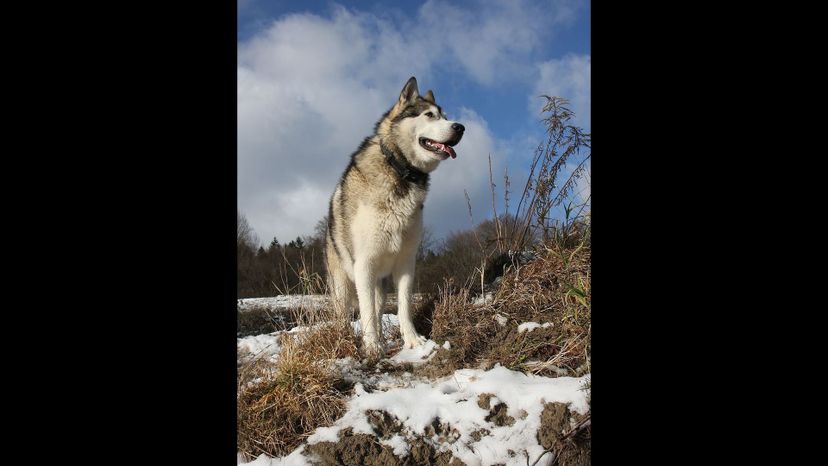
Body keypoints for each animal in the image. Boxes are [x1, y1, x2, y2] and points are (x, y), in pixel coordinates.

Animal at [326, 76, 466, 356]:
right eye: (429, 115)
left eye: (446, 116)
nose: (460, 127)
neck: (400, 171)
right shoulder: (364, 265)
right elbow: (367, 312)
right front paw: (372, 347)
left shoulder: (406, 262)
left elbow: (403, 306)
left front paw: (413, 341)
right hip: (343, 285)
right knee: (347, 312)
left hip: (378, 283)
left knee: (378, 307)